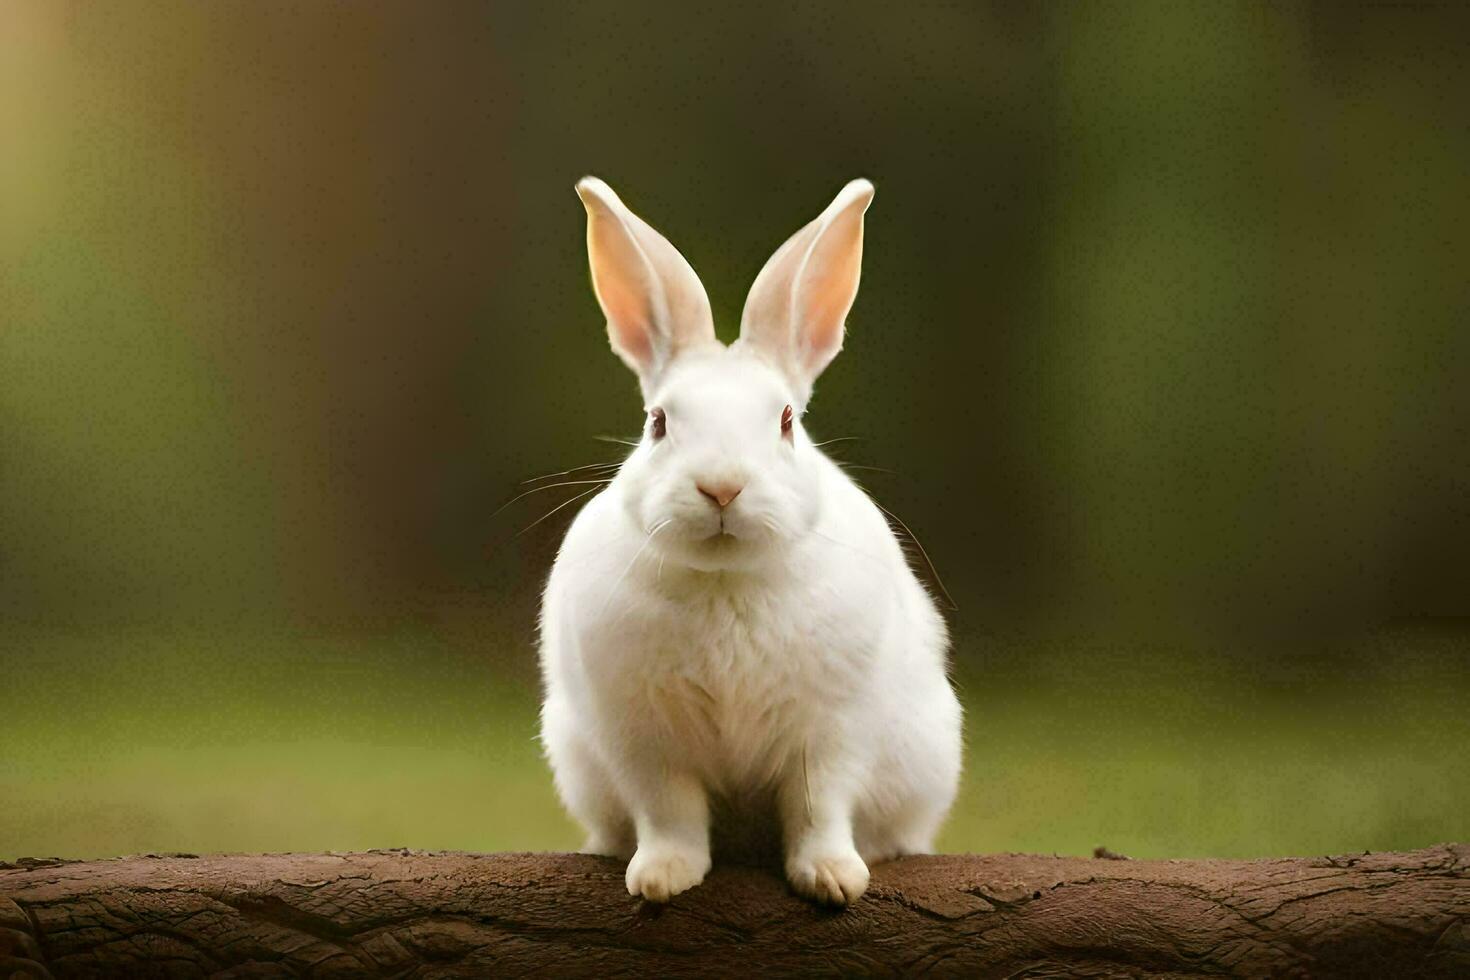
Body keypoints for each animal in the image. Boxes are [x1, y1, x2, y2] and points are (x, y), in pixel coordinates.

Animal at [540, 176, 964, 905]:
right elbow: (671, 812)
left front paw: (834, 879)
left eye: (787, 421)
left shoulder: (832, 735)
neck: (726, 578)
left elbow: (819, 808)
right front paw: (660, 878)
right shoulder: (646, 744)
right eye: (657, 422)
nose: (721, 487)